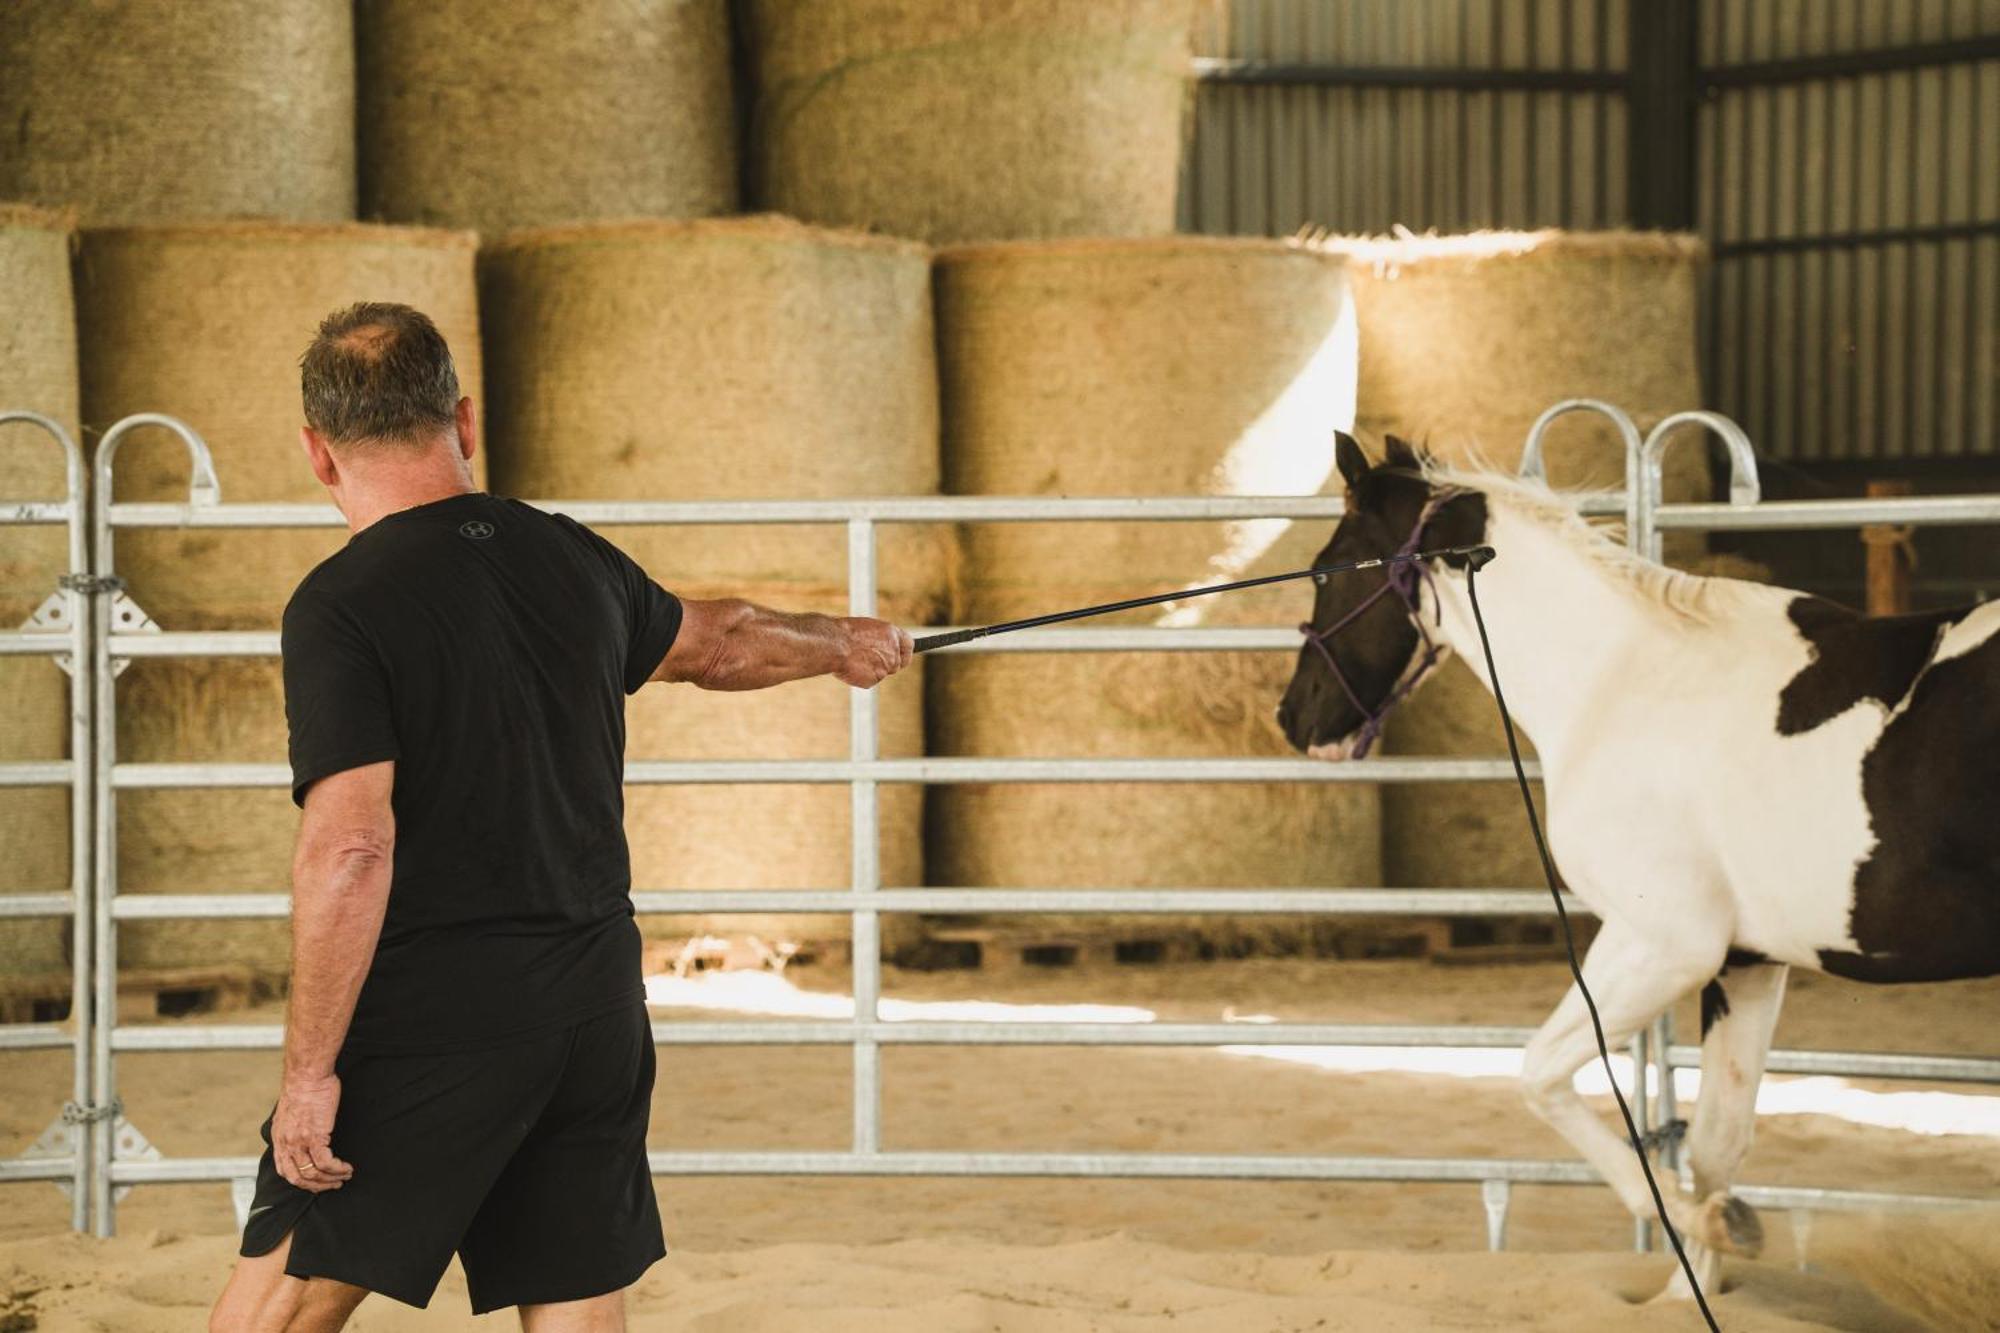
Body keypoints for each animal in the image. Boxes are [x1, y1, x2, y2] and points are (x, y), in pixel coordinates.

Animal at [1280, 436, 2000, 1296]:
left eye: (1327, 569)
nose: (1295, 716)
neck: (1624, 681)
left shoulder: (1662, 944)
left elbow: (1541, 1075)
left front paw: (1710, 1223)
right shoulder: (1747, 962)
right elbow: (1716, 1143)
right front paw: (1695, 1283)